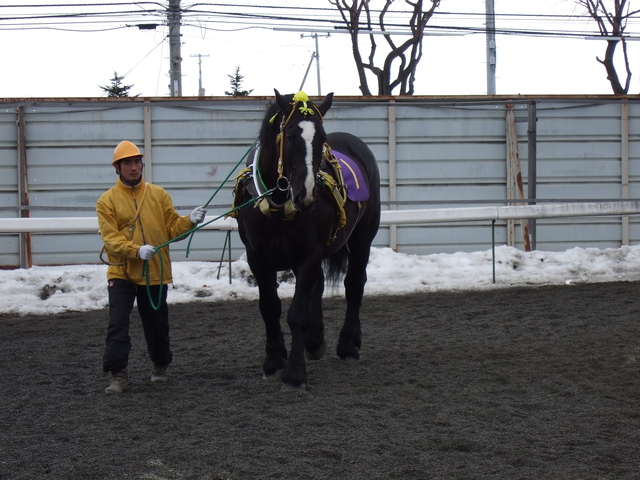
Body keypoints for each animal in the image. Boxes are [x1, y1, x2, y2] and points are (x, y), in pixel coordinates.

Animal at [231, 90, 381, 389]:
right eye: (289, 137)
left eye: (322, 138)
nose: (307, 195)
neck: (278, 206)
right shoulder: (257, 257)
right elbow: (270, 307)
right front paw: (274, 360)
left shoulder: (309, 255)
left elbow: (296, 313)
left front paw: (294, 372)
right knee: (319, 286)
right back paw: (315, 340)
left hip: (362, 238)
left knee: (354, 284)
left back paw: (348, 344)